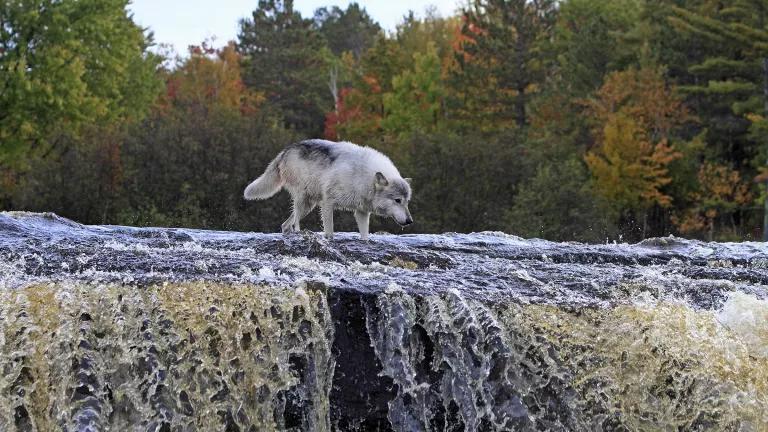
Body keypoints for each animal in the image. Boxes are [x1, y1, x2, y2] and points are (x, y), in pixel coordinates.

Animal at [246, 139, 414, 240]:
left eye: (407, 202)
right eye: (397, 200)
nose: (410, 221)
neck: (363, 176)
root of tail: (285, 150)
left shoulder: (361, 212)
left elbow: (364, 236)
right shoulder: (327, 203)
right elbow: (330, 232)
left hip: (308, 205)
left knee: (286, 224)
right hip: (302, 200)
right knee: (295, 222)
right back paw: (300, 232)